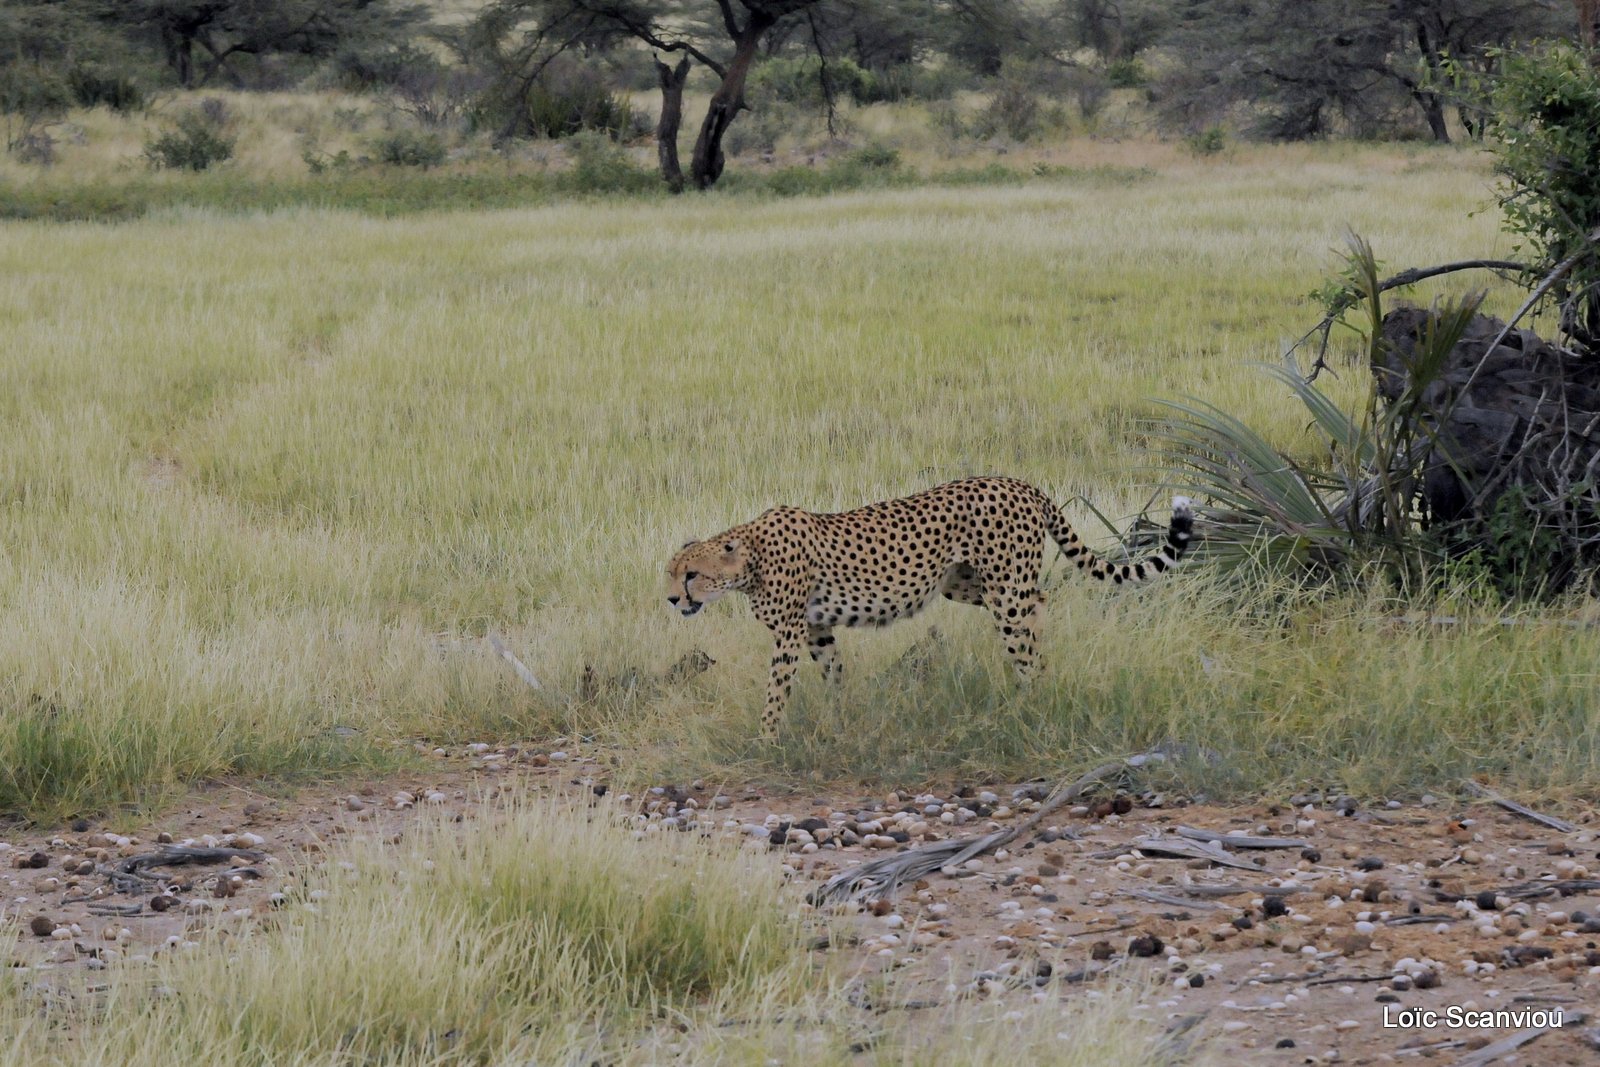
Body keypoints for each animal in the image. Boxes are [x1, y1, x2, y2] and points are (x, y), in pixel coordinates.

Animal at [656, 479, 1196, 739]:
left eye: (691, 574)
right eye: (671, 572)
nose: (672, 599)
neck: (748, 559)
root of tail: (1018, 482)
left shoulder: (790, 631)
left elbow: (775, 691)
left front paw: (766, 737)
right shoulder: (816, 630)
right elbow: (833, 673)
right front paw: (841, 716)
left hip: (1003, 589)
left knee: (1025, 633)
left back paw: (1032, 696)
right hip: (965, 584)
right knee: (1041, 602)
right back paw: (1039, 677)